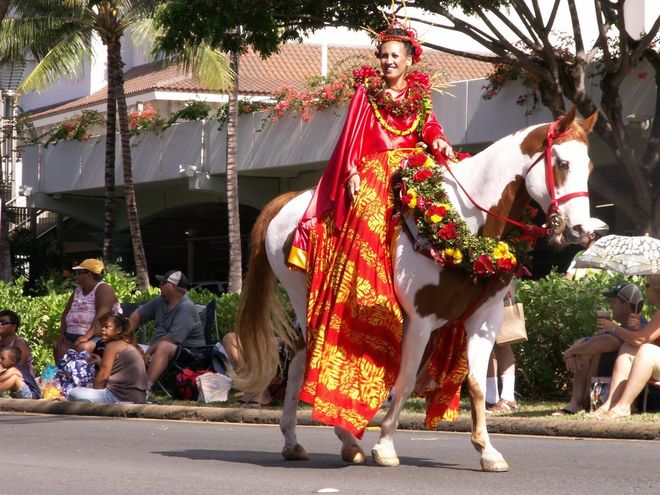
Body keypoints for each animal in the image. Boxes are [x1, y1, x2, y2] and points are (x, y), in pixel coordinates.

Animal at [236, 108, 600, 472]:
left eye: (590, 167)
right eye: (563, 163)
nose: (581, 230)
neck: (468, 223)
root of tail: (289, 201)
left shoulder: (486, 318)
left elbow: (476, 384)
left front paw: (487, 450)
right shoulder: (420, 318)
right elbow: (406, 380)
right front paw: (385, 446)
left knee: (300, 360)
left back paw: (314, 442)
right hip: (302, 296)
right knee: (306, 361)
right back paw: (328, 439)